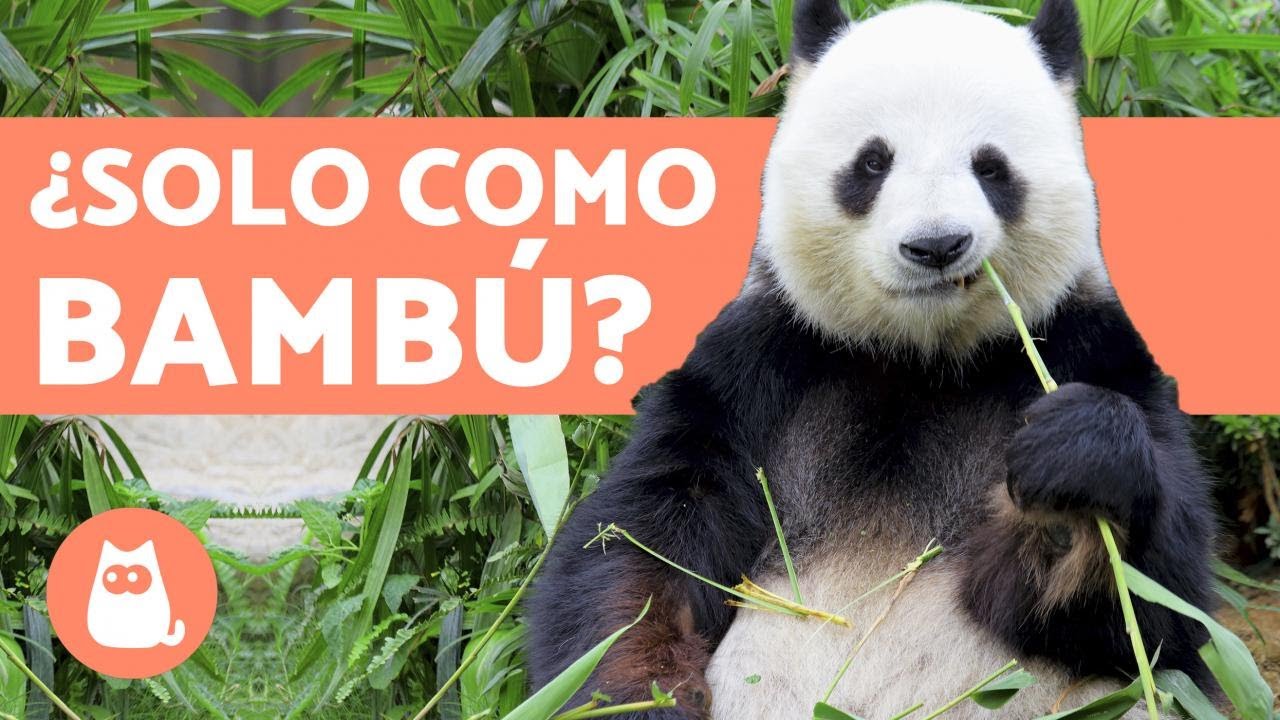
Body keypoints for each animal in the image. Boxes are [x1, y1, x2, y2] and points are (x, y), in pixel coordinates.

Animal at [528, 1, 1216, 718]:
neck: (920, 356)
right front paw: (642, 691)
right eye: (873, 162)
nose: (936, 245)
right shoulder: (761, 364)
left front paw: (1070, 486)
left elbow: (1154, 612)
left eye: (991, 167)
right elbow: (643, 542)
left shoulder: (1087, 344)